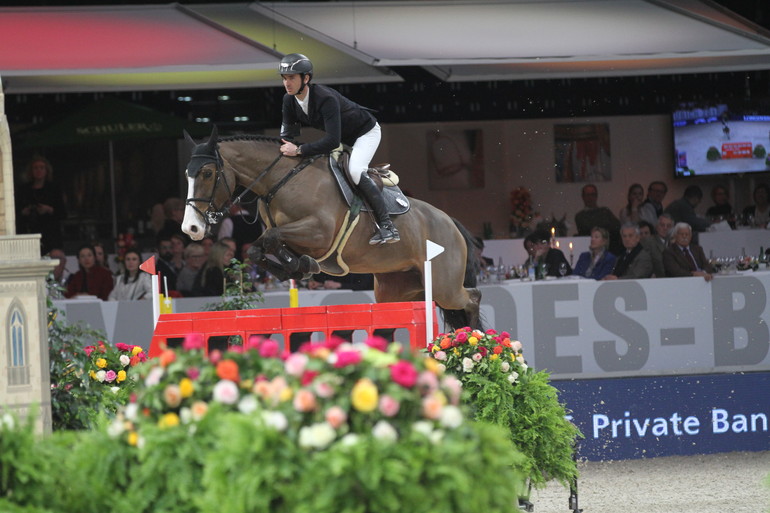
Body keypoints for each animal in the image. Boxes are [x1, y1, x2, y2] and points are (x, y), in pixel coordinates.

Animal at [181, 126, 480, 330]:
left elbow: (273, 237)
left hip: (443, 286)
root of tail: (450, 222)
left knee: (472, 298)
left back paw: (476, 343)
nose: (191, 228)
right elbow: (259, 248)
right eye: (187, 175)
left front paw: (302, 265)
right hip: (397, 289)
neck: (282, 180)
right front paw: (296, 267)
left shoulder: (319, 234)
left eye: (207, 173)